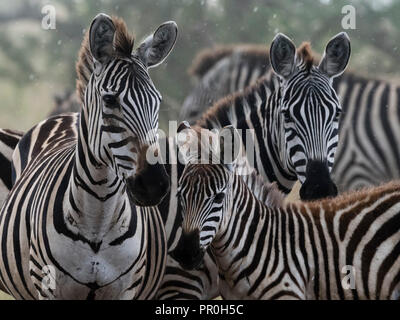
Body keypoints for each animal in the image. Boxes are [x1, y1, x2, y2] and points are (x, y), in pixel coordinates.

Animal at [0, 13, 177, 300]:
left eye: (157, 101)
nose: (153, 184)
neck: (99, 215)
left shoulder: (128, 288)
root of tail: (68, 116)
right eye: (110, 100)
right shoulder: (47, 286)